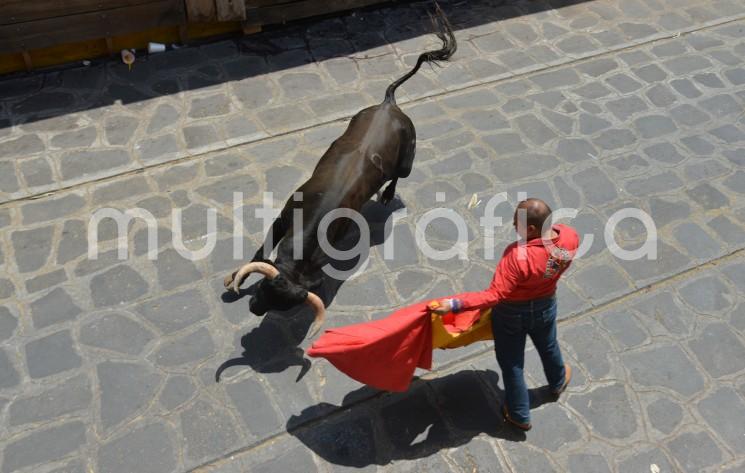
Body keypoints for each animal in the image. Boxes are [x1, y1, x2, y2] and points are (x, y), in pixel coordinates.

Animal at [224, 4, 456, 336]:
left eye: (284, 305)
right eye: (264, 289)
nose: (255, 309)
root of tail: (389, 104)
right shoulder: (281, 218)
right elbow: (261, 250)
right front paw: (232, 281)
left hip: (407, 162)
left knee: (396, 177)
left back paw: (388, 196)